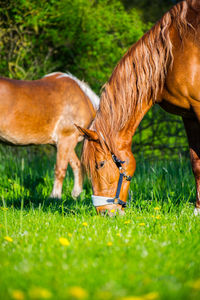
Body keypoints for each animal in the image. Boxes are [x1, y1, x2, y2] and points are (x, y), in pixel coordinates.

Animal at [77, 0, 200, 216]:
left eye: (100, 164)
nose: (104, 213)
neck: (175, 53)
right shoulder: (189, 115)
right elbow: (196, 163)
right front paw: (197, 210)